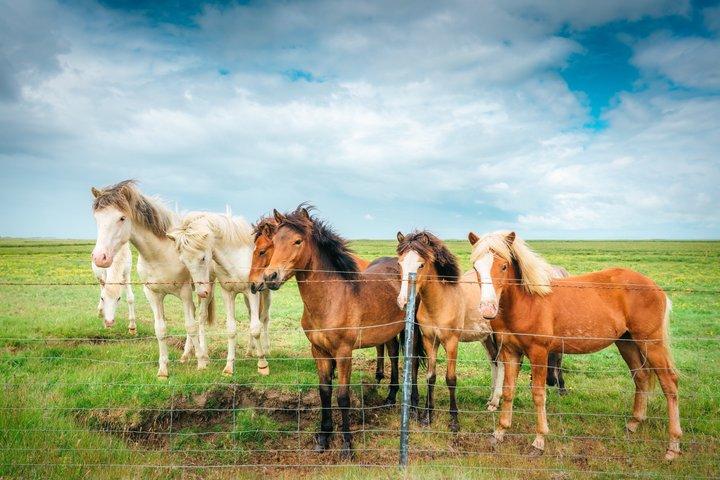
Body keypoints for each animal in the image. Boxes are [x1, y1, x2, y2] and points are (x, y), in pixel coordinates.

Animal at [91, 180, 210, 378]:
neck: (160, 254)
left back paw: (203, 354)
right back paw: (186, 354)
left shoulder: (185, 291)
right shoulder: (152, 294)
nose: (100, 258)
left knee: (199, 319)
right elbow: (160, 329)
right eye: (97, 219)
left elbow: (190, 326)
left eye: (122, 218)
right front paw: (163, 370)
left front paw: (201, 363)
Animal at [167, 210, 272, 376]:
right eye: (183, 261)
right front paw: (229, 367)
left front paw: (262, 365)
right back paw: (250, 351)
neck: (236, 258)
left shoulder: (252, 292)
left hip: (265, 293)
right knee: (252, 316)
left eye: (203, 258)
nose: (201, 291)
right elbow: (231, 329)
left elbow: (256, 328)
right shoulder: (228, 293)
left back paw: (266, 349)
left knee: (264, 318)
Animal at [468, 230, 681, 460]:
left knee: (669, 384)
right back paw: (633, 424)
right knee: (640, 377)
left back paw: (673, 446)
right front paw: (499, 432)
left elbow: (538, 395)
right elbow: (508, 391)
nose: (487, 309)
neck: (527, 301)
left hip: (651, 343)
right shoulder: (510, 352)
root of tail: (656, 288)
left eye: (504, 266)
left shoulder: (539, 353)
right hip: (627, 343)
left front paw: (539, 441)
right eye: (476, 267)